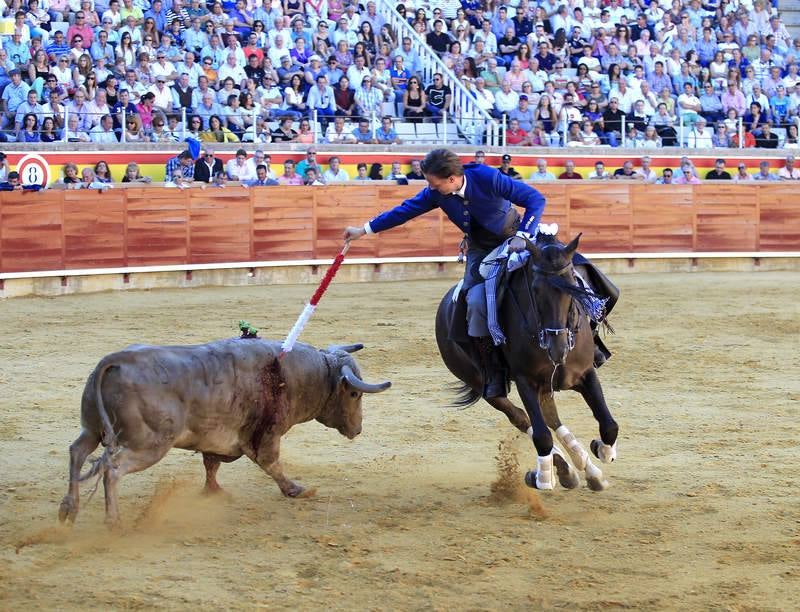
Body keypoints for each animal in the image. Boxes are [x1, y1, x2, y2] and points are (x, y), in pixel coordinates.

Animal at [59, 340, 390, 524]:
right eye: (354, 394)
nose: (358, 429)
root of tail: (115, 360)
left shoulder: (215, 439)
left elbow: (211, 464)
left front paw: (213, 491)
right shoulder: (266, 435)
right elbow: (272, 464)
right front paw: (296, 489)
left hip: (92, 428)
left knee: (77, 451)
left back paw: (68, 509)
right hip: (149, 444)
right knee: (112, 469)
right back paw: (113, 521)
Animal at [438, 232, 620, 490]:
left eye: (573, 283)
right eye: (535, 289)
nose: (558, 349)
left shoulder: (585, 374)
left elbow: (608, 424)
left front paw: (601, 451)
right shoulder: (526, 381)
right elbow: (541, 436)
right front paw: (541, 478)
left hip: (547, 385)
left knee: (551, 418)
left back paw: (586, 470)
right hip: (484, 385)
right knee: (523, 419)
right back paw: (563, 470)